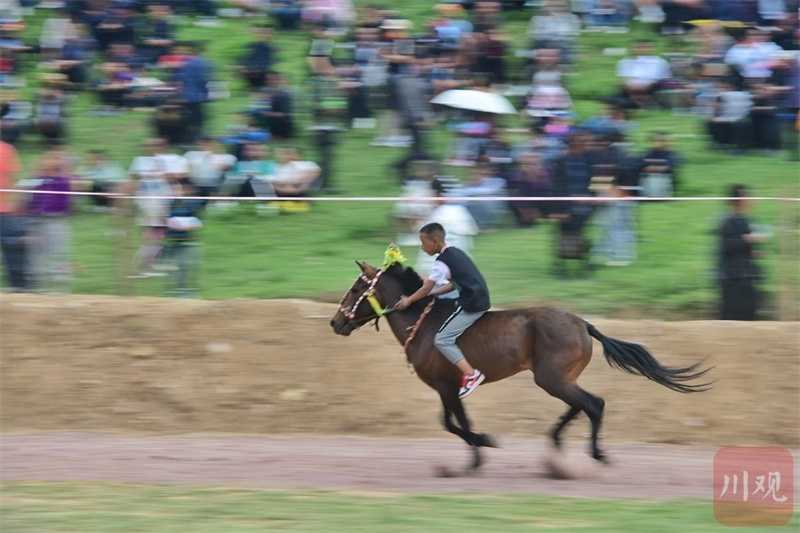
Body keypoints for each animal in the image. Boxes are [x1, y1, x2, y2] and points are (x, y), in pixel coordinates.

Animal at [328, 245, 708, 470]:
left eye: (356, 289)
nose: (335, 322)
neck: (422, 320)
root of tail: (582, 322)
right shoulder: (444, 387)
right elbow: (450, 422)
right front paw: (482, 444)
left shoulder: (448, 386)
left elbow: (455, 422)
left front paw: (479, 451)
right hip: (559, 378)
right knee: (581, 405)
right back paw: (557, 444)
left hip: (551, 377)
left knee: (593, 404)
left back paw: (596, 453)